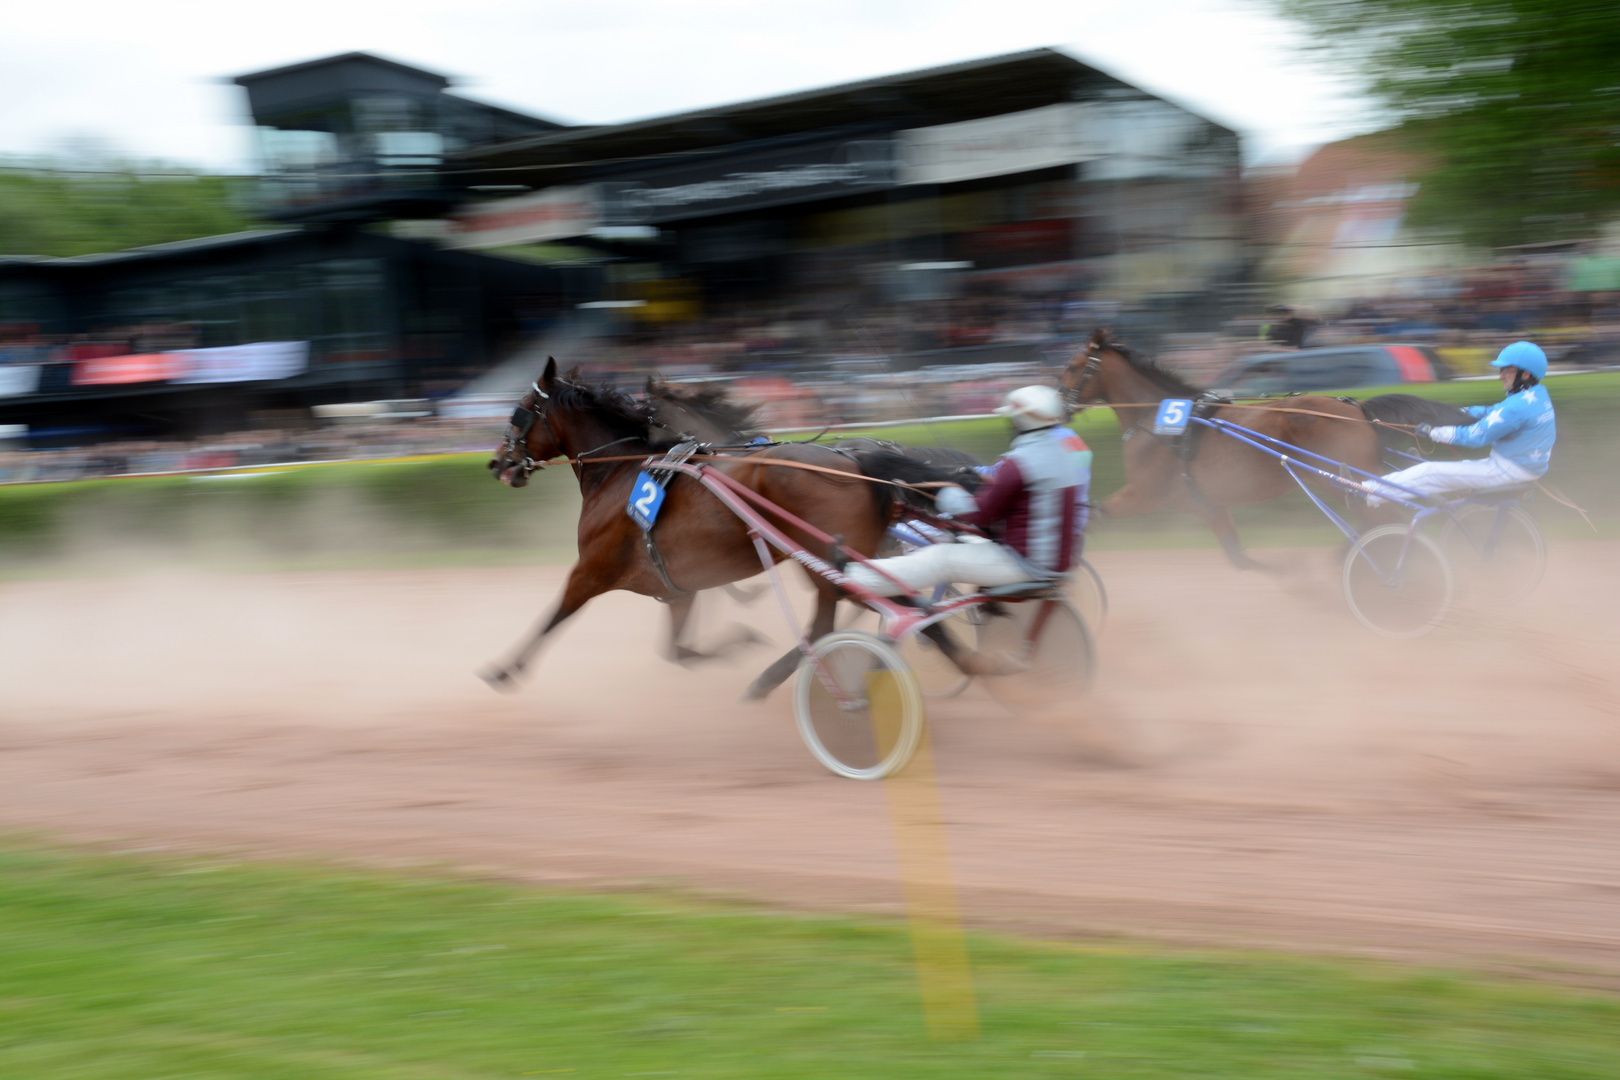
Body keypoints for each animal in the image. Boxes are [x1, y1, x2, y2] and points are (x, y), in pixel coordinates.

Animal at [486, 359, 907, 702]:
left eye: (519, 410)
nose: (497, 462)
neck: (618, 470)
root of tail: (856, 463)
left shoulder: (592, 569)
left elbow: (553, 616)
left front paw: (503, 669)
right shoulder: (676, 582)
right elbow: (681, 651)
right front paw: (739, 640)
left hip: (823, 559)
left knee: (835, 620)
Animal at [1056, 327, 1477, 569]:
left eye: (1073, 366)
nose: (1059, 403)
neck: (1156, 420)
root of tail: (1358, 408)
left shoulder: (1143, 494)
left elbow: (1093, 515)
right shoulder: (1209, 506)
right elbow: (1239, 557)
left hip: (1337, 479)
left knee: (1387, 520)